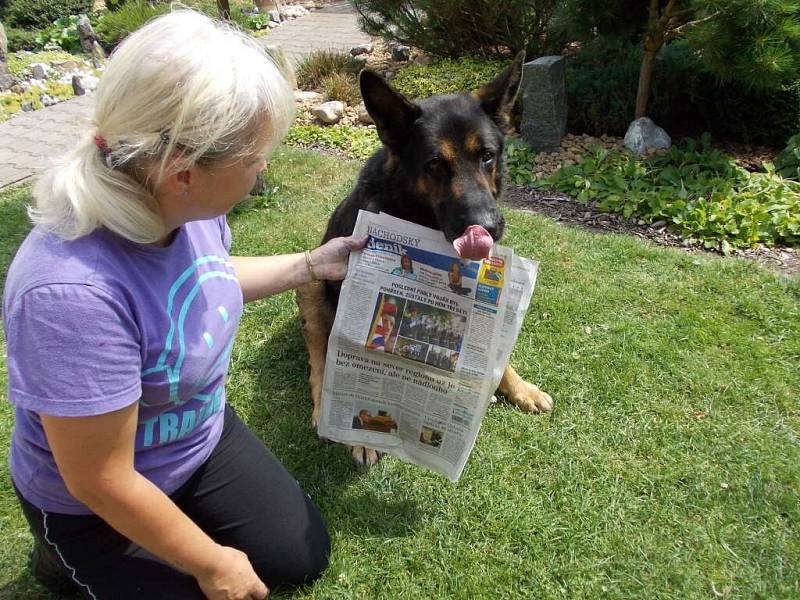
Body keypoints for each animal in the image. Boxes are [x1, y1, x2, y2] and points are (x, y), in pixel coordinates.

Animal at [296, 52, 552, 464]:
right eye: (435, 164)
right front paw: (363, 437)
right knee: (319, 360)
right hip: (312, 286)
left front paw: (518, 387)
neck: (417, 215)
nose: (488, 228)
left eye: (486, 156)